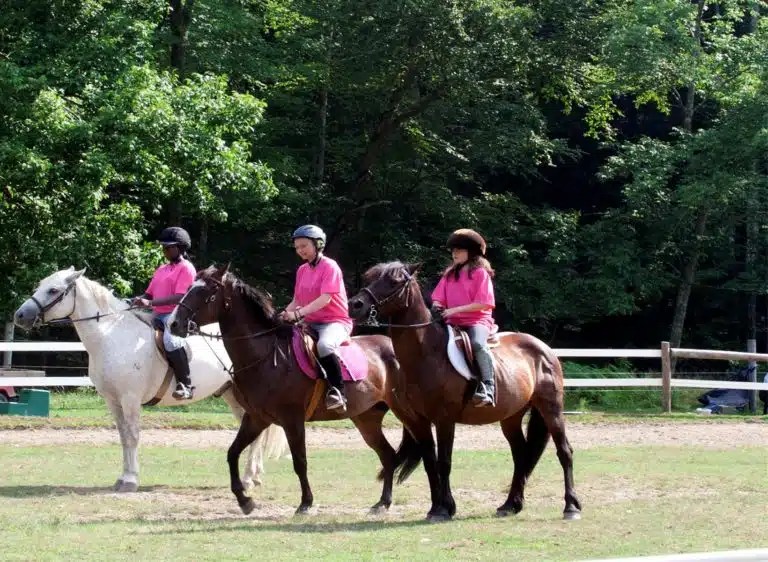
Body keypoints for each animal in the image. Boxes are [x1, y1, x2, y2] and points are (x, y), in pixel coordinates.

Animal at [14, 267, 289, 492]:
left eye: (53, 290)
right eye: (40, 285)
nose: (20, 315)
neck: (112, 336)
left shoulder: (130, 399)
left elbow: (133, 435)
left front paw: (131, 480)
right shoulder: (113, 401)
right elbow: (123, 436)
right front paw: (123, 477)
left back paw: (248, 478)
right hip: (231, 394)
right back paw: (254, 476)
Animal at [168, 264, 420, 515]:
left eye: (208, 292)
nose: (174, 324)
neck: (266, 356)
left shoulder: (292, 419)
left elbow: (300, 461)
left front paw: (306, 502)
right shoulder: (256, 418)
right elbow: (232, 453)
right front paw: (244, 500)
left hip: (405, 412)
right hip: (366, 418)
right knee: (388, 456)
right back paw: (382, 502)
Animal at [347, 261, 582, 521]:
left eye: (394, 281)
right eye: (369, 277)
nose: (355, 305)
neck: (426, 354)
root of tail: (544, 349)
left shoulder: (444, 419)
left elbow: (444, 462)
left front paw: (445, 508)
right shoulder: (419, 421)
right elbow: (430, 462)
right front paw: (436, 507)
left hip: (551, 409)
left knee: (564, 452)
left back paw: (571, 506)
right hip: (511, 417)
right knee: (521, 455)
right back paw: (510, 504)